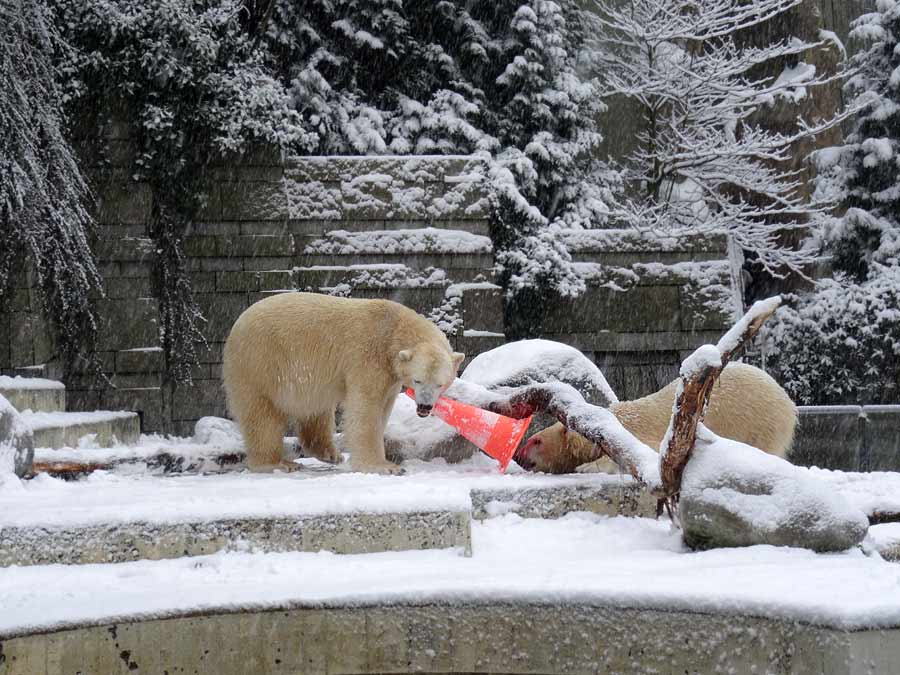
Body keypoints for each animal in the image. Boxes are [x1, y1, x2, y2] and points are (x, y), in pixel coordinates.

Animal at [223, 292, 464, 476]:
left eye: (440, 384)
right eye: (418, 380)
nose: (424, 406)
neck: (392, 329)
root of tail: (236, 326)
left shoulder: (390, 374)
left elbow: (384, 407)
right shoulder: (368, 359)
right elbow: (366, 409)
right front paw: (385, 466)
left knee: (315, 408)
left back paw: (329, 454)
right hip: (261, 363)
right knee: (262, 414)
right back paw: (277, 463)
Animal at [512, 364, 796, 476]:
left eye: (535, 441)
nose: (518, 456)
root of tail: (788, 402)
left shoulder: (642, 432)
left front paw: (586, 467)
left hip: (759, 419)